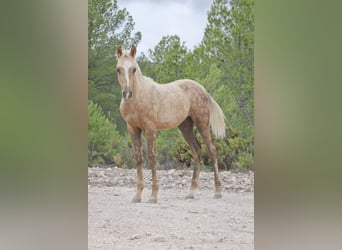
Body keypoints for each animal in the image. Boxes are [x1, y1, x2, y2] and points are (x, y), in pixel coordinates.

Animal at [116, 45, 226, 203]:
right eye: (118, 69)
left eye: (134, 69)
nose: (127, 94)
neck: (138, 98)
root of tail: (203, 90)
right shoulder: (133, 128)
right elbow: (138, 158)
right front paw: (137, 196)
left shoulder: (150, 128)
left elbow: (152, 158)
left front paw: (153, 196)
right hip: (185, 126)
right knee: (197, 151)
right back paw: (191, 192)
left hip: (202, 123)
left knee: (211, 150)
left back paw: (217, 191)